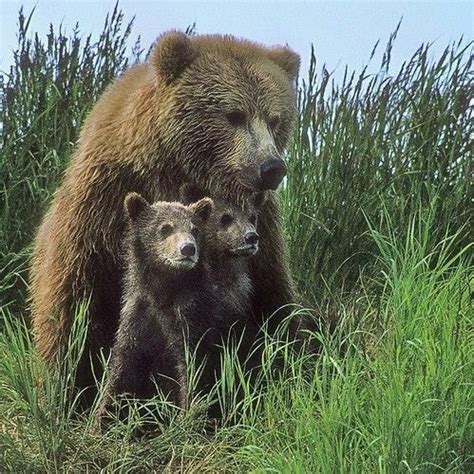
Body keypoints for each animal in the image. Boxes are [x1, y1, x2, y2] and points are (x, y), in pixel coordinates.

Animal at [29, 30, 298, 400]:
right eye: (234, 115)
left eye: (275, 119)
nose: (271, 167)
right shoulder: (102, 207)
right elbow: (75, 303)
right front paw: (67, 388)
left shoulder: (262, 231)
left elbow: (274, 305)